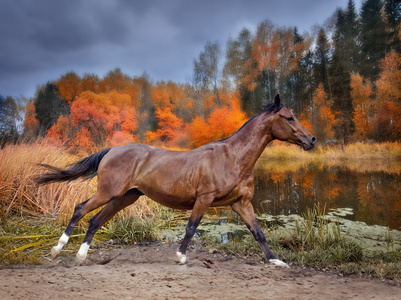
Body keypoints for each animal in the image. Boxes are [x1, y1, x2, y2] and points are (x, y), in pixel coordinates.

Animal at [36, 94, 314, 268]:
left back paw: (81, 256)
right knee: (80, 209)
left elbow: (259, 233)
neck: (232, 157)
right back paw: (57, 249)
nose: (312, 140)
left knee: (95, 220)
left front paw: (276, 261)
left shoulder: (241, 203)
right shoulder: (204, 198)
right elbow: (191, 227)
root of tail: (111, 150)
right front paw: (180, 257)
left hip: (125, 197)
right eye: (289, 117)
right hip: (108, 192)